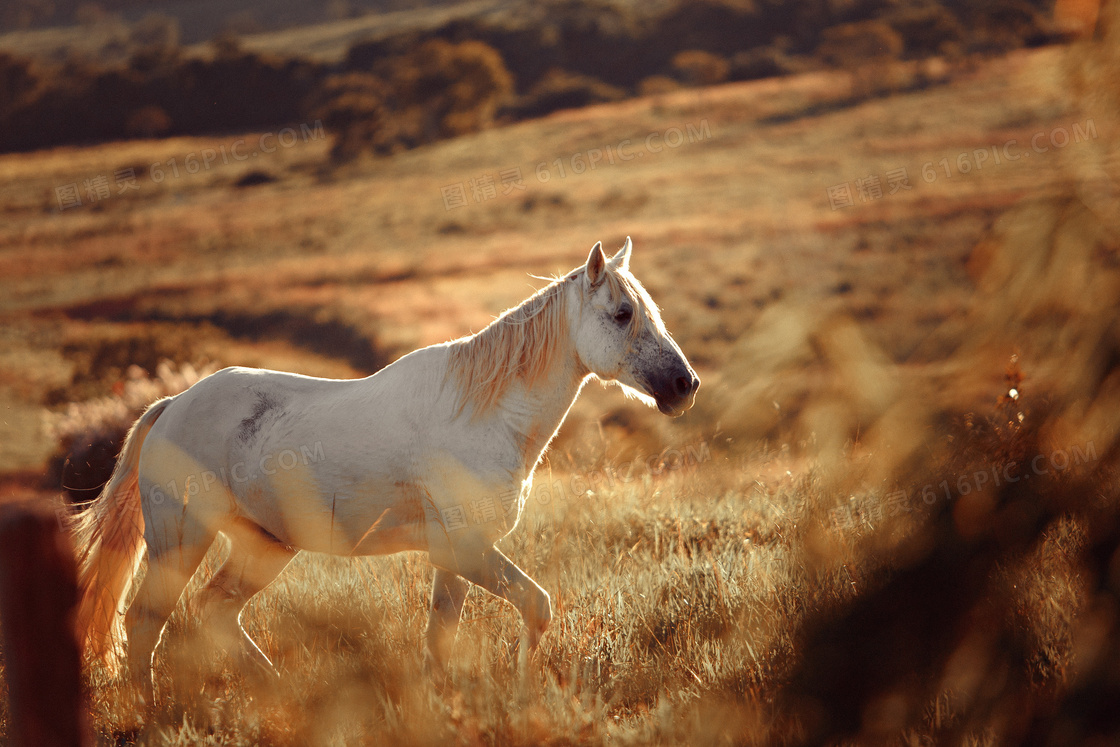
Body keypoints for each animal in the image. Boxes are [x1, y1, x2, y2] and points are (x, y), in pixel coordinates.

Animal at [70, 239, 698, 694]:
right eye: (622, 314)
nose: (684, 386)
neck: (484, 414)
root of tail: (172, 406)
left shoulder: (455, 557)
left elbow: (440, 640)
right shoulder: (467, 549)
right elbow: (537, 607)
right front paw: (524, 691)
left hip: (264, 546)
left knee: (214, 613)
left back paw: (281, 692)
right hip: (180, 539)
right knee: (145, 624)